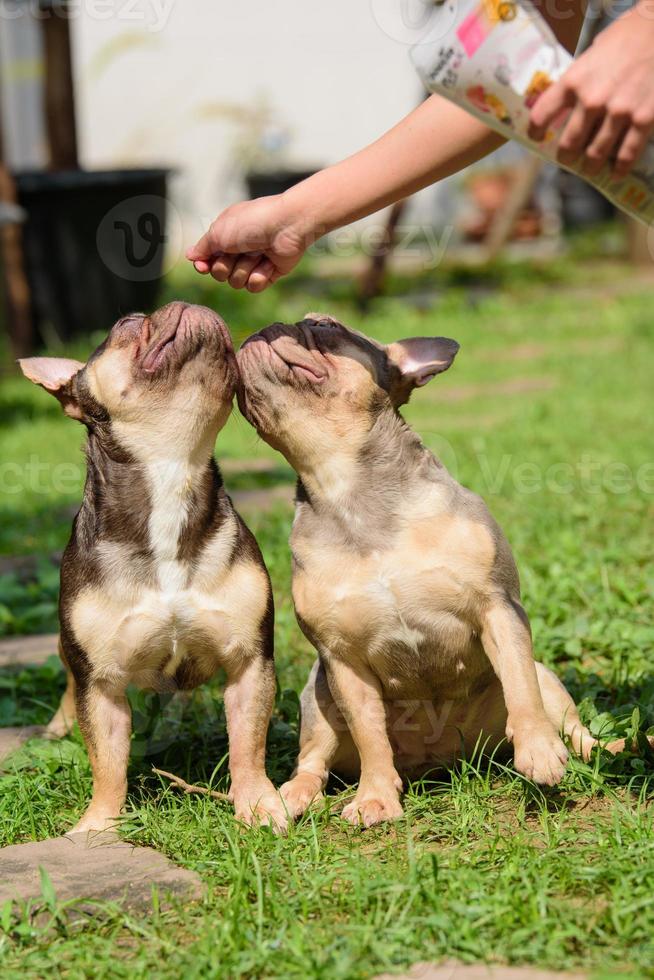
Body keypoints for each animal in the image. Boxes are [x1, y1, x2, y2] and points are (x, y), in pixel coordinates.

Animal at [19, 300, 288, 836]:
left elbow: (248, 743)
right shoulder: (99, 682)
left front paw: (257, 803)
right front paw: (98, 825)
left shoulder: (249, 661)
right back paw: (59, 726)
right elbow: (106, 759)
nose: (188, 303)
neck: (172, 473)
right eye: (125, 326)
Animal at [237, 314, 632, 828]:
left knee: (572, 726)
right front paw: (375, 797)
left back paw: (609, 747)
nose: (263, 328)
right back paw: (294, 795)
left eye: (325, 325)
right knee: (314, 762)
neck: (347, 488)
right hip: (317, 698)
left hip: (549, 679)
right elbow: (370, 735)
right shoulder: (341, 658)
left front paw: (539, 750)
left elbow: (521, 690)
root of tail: (440, 758)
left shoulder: (498, 609)